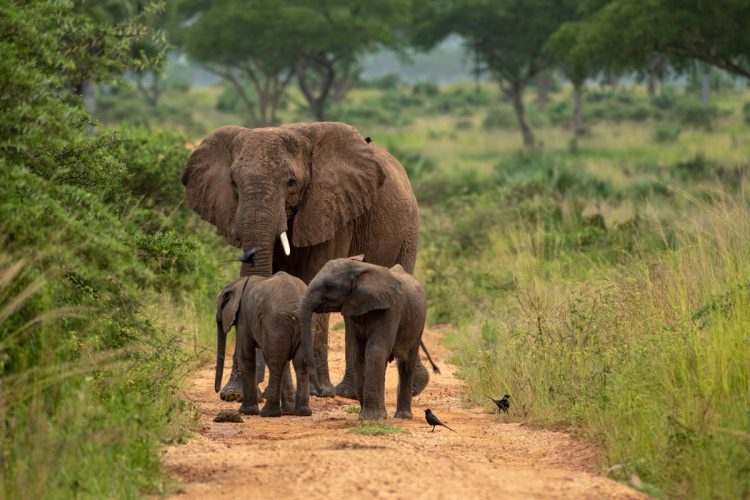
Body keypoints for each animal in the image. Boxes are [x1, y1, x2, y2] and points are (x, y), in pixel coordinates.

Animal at [182, 121, 421, 400]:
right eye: (233, 182)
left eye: (291, 182)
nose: (256, 390)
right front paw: (236, 392)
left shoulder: (331, 210)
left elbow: (314, 281)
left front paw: (317, 392)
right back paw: (351, 392)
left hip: (409, 232)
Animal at [215, 272, 311, 417]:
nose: (218, 391)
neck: (238, 283)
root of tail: (296, 307)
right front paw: (288, 411)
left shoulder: (243, 317)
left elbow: (245, 354)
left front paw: (247, 412)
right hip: (304, 324)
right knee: (299, 363)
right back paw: (302, 412)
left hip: (275, 322)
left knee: (275, 362)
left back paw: (269, 413)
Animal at [299, 256, 430, 420]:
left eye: (329, 286)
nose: (321, 393)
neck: (359, 268)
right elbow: (359, 354)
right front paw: (370, 416)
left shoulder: (392, 309)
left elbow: (375, 350)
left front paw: (368, 418)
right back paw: (384, 415)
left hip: (418, 324)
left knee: (406, 364)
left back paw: (402, 416)